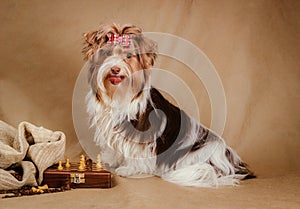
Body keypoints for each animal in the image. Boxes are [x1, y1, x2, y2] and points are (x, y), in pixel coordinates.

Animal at [82, 23, 253, 187]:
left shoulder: (141, 133)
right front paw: (111, 159)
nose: (115, 69)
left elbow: (136, 150)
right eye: (107, 54)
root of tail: (230, 161)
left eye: (129, 56)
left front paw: (130, 169)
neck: (119, 93)